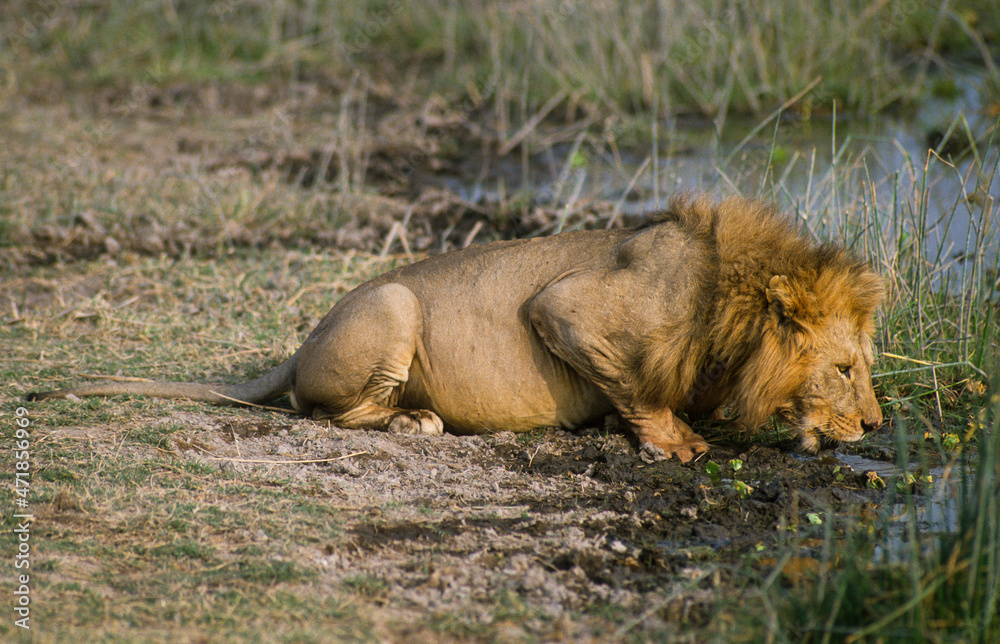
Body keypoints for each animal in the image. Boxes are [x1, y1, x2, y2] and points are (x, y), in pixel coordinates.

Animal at [29, 196, 885, 462]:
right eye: (846, 368)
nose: (878, 425)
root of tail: (297, 347)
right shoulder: (565, 308)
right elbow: (637, 386)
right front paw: (672, 441)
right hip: (393, 305)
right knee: (322, 411)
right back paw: (415, 421)